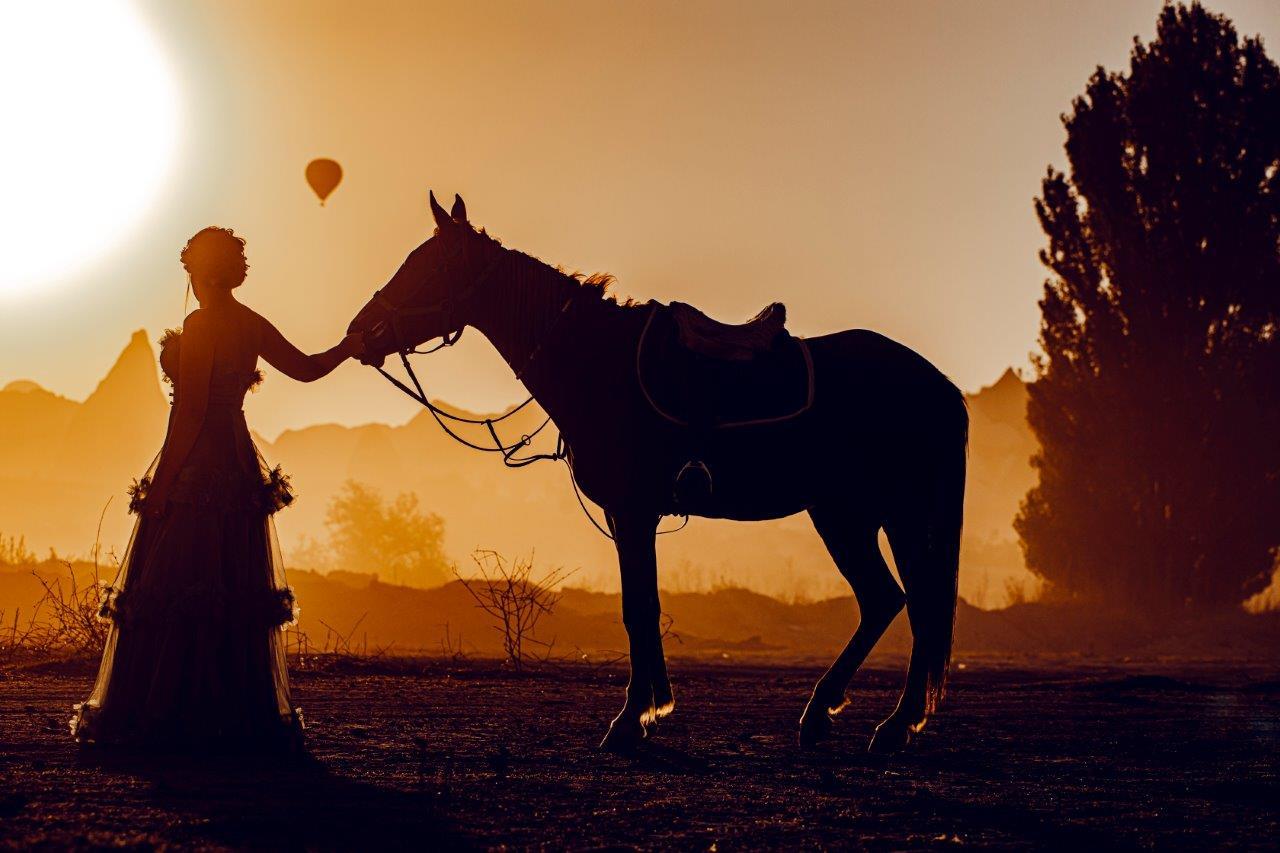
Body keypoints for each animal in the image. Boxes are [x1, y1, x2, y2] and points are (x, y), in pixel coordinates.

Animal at [345, 192, 962, 753]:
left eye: (429, 267)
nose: (359, 331)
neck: (596, 361)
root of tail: (937, 383)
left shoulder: (633, 511)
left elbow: (639, 609)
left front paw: (631, 719)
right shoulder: (630, 517)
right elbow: (639, 605)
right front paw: (649, 708)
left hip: (881, 514)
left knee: (912, 604)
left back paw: (886, 724)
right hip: (853, 515)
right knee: (888, 600)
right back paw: (836, 717)